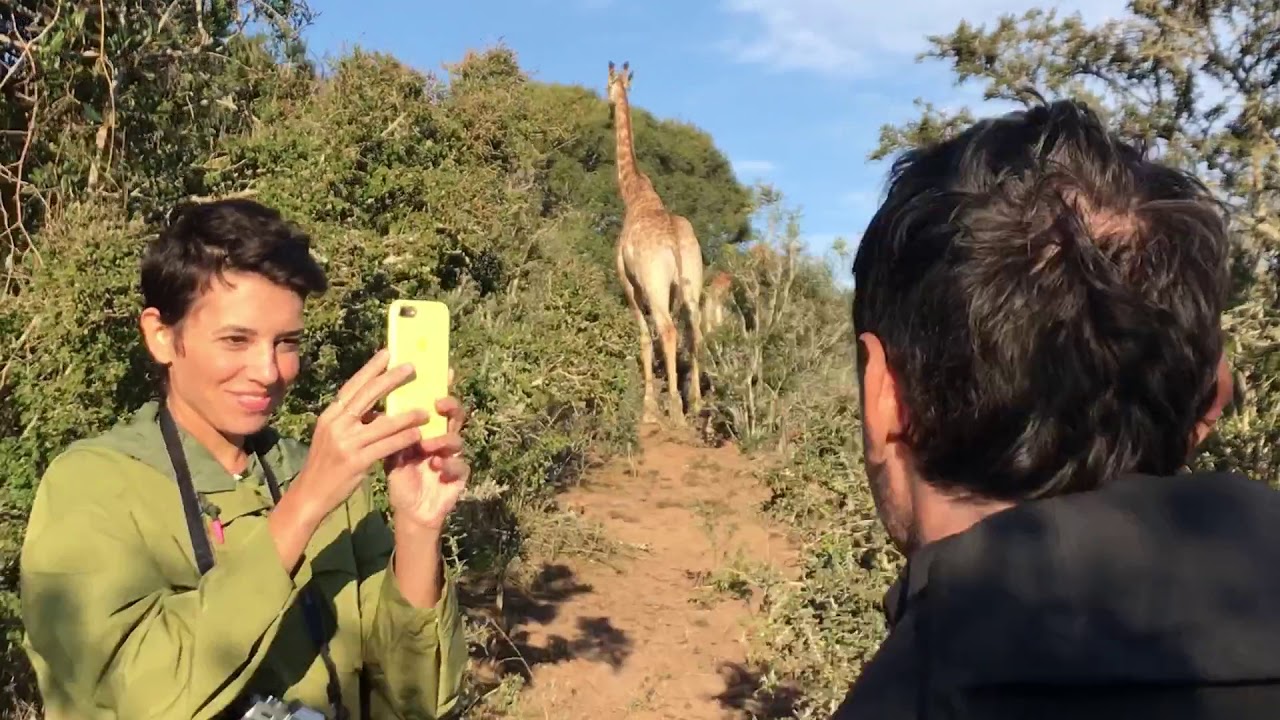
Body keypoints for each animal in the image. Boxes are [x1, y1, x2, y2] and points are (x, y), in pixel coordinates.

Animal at [606, 60, 705, 426]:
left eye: (607, 85)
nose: (609, 103)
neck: (633, 193)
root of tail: (674, 241)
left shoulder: (629, 282)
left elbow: (643, 335)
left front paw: (648, 406)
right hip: (690, 282)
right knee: (694, 331)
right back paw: (697, 403)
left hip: (655, 283)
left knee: (666, 329)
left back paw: (674, 408)